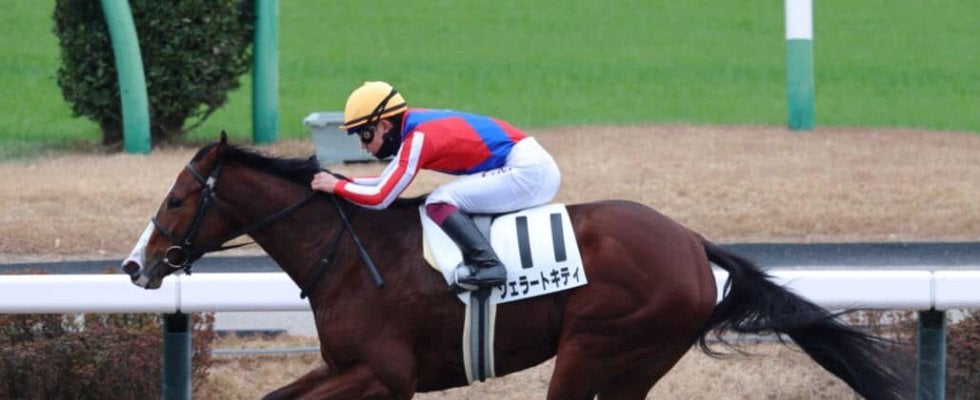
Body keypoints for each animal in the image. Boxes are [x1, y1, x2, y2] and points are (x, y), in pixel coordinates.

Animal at [122, 133, 909, 400]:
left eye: (179, 197)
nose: (135, 265)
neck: (345, 254)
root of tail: (691, 242)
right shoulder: (344, 367)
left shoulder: (385, 375)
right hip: (638, 361)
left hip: (596, 346)